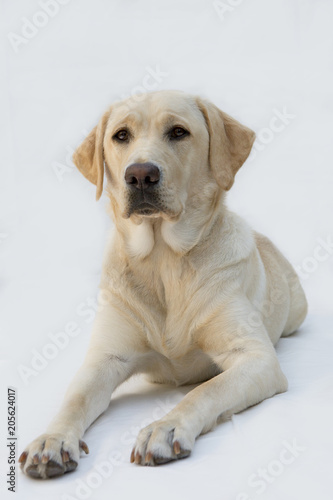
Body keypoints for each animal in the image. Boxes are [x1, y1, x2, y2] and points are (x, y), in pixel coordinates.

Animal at [20, 90, 306, 476]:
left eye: (179, 132)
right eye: (121, 135)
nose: (140, 174)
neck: (163, 261)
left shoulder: (255, 358)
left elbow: (205, 391)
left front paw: (165, 428)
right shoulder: (104, 360)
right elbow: (73, 399)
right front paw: (51, 439)